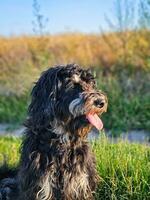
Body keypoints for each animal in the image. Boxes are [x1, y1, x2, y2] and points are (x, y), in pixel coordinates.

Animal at [0, 64, 108, 200]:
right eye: (73, 85)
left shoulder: (80, 183)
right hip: (7, 186)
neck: (61, 139)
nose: (101, 102)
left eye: (91, 84)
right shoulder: (41, 185)